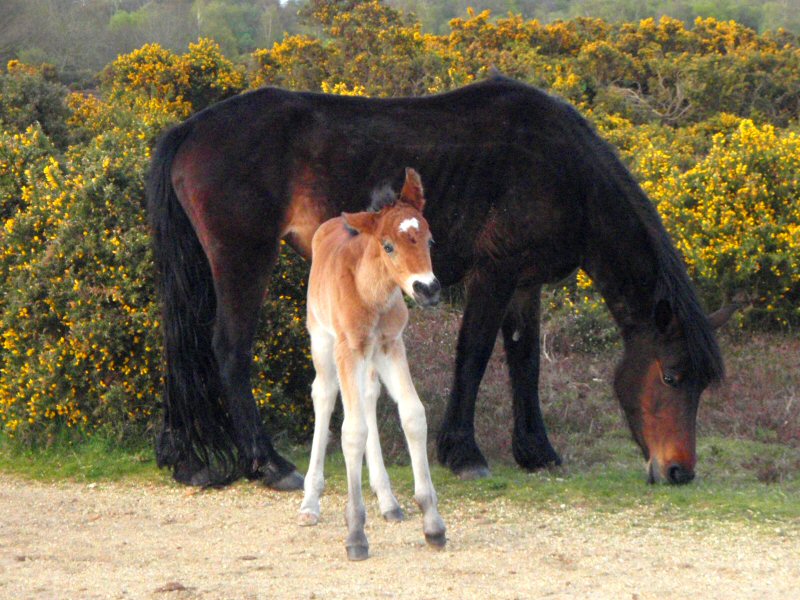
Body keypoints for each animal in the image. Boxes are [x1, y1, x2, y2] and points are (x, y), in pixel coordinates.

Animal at [147, 75, 736, 490]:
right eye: (671, 376)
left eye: (701, 382)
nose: (680, 471)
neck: (564, 170)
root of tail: (191, 129)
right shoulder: (494, 273)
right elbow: (473, 355)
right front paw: (463, 452)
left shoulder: (525, 283)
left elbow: (524, 362)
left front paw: (537, 452)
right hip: (243, 259)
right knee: (228, 351)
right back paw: (269, 464)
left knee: (182, 348)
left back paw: (189, 461)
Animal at [300, 169, 446, 564]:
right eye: (388, 245)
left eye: (429, 239)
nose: (428, 289)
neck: (372, 293)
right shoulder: (348, 349)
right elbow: (351, 432)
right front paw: (355, 534)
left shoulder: (391, 346)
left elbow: (413, 414)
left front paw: (433, 524)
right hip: (322, 341)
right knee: (324, 396)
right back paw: (309, 502)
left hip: (368, 359)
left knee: (368, 397)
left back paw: (388, 501)